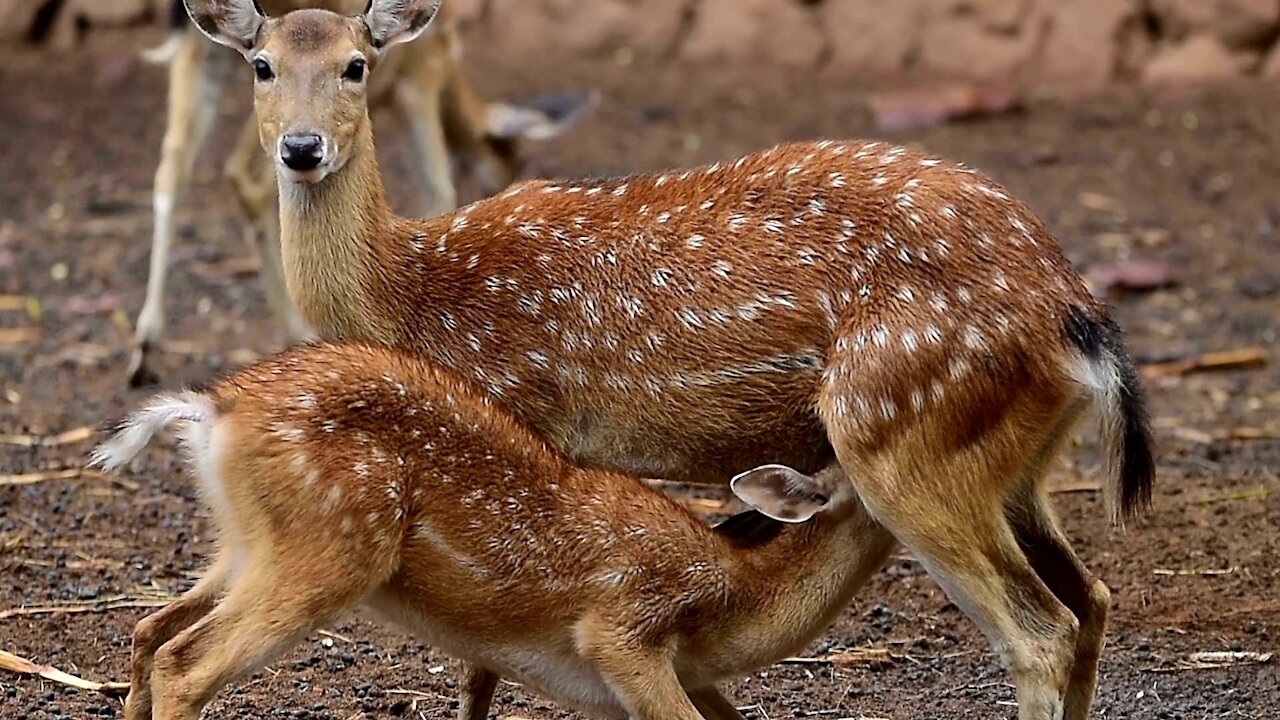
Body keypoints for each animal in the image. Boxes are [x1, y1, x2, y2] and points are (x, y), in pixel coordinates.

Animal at [92, 340, 901, 717]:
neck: (735, 597)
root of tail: (213, 411)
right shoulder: (623, 628)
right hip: (332, 547)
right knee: (187, 660)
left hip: (242, 544)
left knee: (150, 628)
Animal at [127, 0, 596, 386]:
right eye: (514, 159)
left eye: (354, 67)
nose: (303, 148)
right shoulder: (419, 74)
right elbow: (437, 183)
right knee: (241, 176)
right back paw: (293, 332)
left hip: (200, 54)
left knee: (170, 171)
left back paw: (144, 349)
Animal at [183, 1, 1162, 717]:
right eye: (260, 64)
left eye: (358, 64)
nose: (301, 149)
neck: (410, 291)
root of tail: (1076, 312)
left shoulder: (524, 417)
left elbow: (487, 655)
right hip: (1014, 465)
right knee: (1093, 600)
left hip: (902, 438)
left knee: (1037, 631)